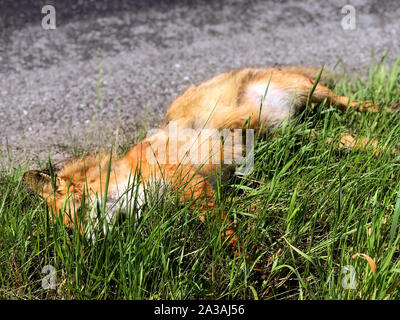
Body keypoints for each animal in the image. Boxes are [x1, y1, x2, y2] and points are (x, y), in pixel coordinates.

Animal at [22, 65, 394, 255]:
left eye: (70, 222)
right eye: (67, 232)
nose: (83, 248)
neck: (134, 180)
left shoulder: (191, 183)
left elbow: (224, 231)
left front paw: (242, 261)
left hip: (314, 93)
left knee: (357, 105)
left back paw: (389, 111)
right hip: (296, 135)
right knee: (354, 140)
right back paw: (389, 149)